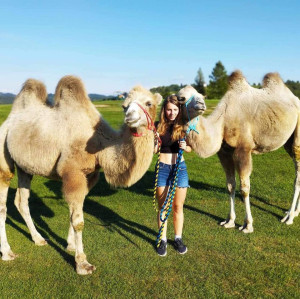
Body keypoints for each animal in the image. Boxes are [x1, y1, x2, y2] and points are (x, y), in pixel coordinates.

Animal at [0, 76, 162, 276]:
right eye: (124, 105)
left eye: (149, 103)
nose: (130, 117)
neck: (99, 145)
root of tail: (9, 120)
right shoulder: (73, 173)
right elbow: (78, 221)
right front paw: (82, 263)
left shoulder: (89, 175)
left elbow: (74, 214)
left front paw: (70, 245)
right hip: (3, 151)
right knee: (3, 203)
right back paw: (7, 252)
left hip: (25, 167)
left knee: (21, 201)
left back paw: (38, 239)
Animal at [178, 71, 300, 233]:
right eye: (181, 98)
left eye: (200, 95)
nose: (201, 105)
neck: (222, 122)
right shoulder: (224, 152)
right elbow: (230, 186)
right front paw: (229, 221)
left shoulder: (244, 149)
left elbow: (244, 189)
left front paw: (248, 225)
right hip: (288, 141)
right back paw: (295, 212)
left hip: (297, 135)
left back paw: (289, 217)